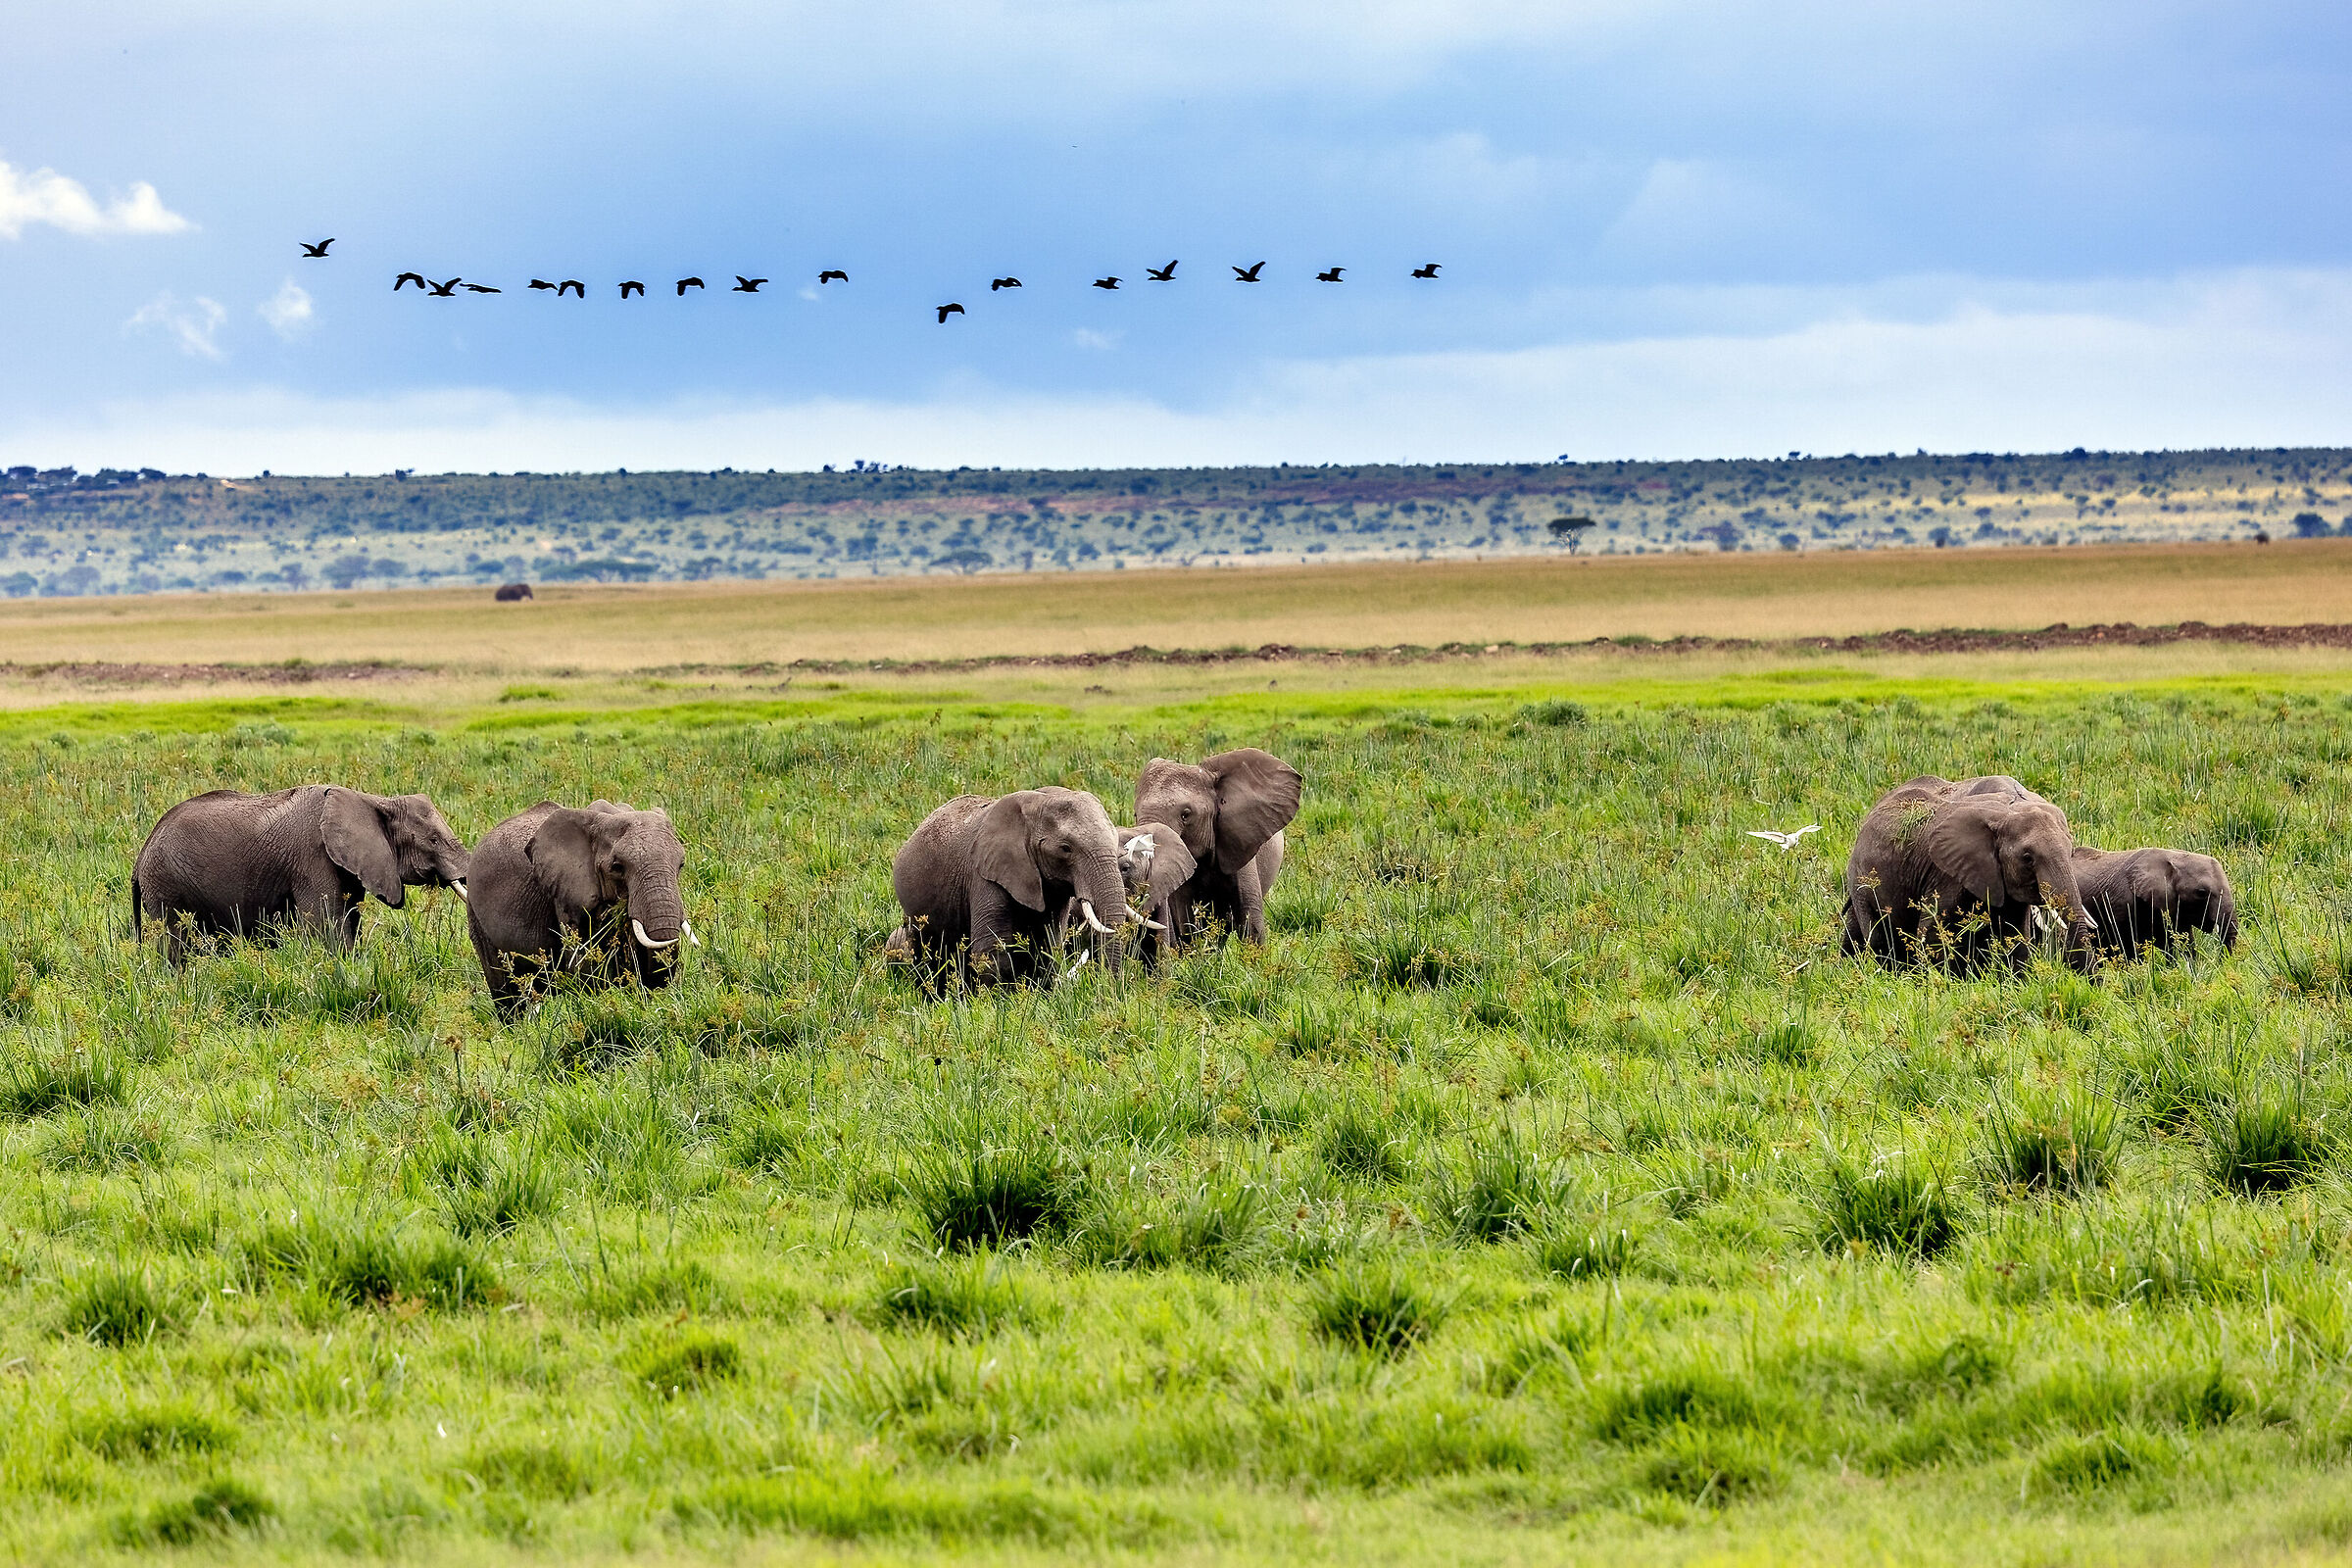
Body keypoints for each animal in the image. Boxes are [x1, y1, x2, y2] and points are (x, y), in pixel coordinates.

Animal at [132, 786, 470, 960]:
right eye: (433, 840)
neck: (373, 799)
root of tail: (140, 857)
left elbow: (351, 918)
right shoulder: (313, 858)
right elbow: (326, 925)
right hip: (166, 883)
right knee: (175, 941)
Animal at [464, 800, 694, 1019]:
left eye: (681, 865)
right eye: (617, 867)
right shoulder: (565, 894)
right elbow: (583, 964)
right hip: (475, 913)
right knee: (504, 991)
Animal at [890, 786, 1143, 991]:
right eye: (1065, 848)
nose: (1110, 988)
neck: (1038, 803)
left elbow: (1047, 945)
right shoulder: (985, 874)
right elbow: (992, 949)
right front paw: (992, 1003)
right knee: (926, 951)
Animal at [1841, 775, 2100, 973]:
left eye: (2071, 851)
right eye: (2028, 858)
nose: (2094, 983)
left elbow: (2016, 935)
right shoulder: (1947, 874)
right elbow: (1933, 933)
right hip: (1861, 879)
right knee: (1876, 935)